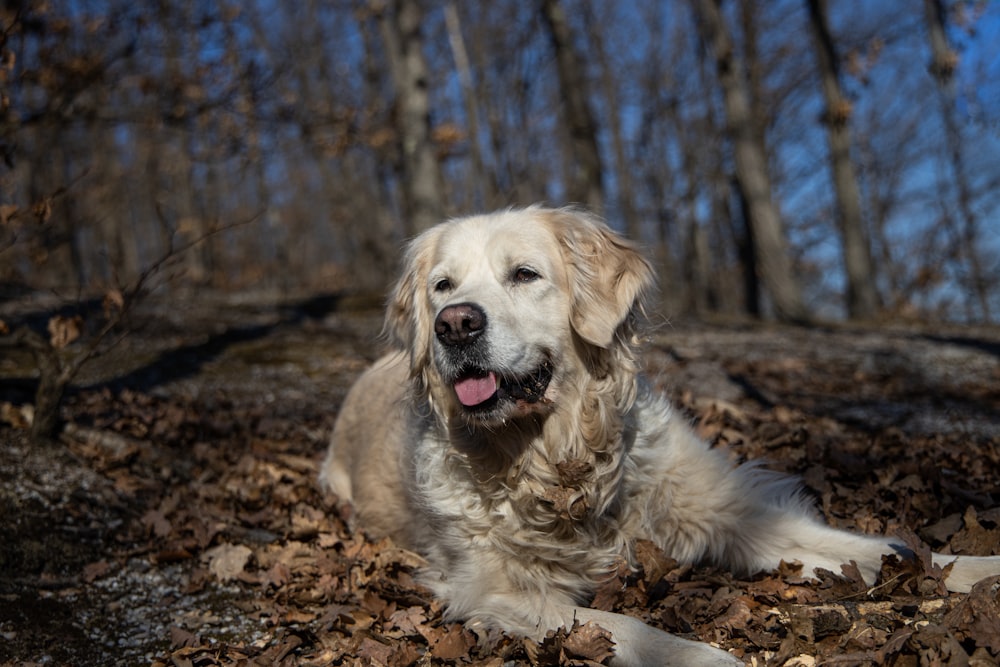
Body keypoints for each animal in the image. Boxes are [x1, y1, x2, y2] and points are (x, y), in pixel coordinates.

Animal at [322, 206, 1000, 664]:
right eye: (443, 286)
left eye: (524, 274)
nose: (452, 324)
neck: (561, 457)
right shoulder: (494, 586)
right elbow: (636, 630)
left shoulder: (723, 512)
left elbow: (878, 548)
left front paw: (970, 566)